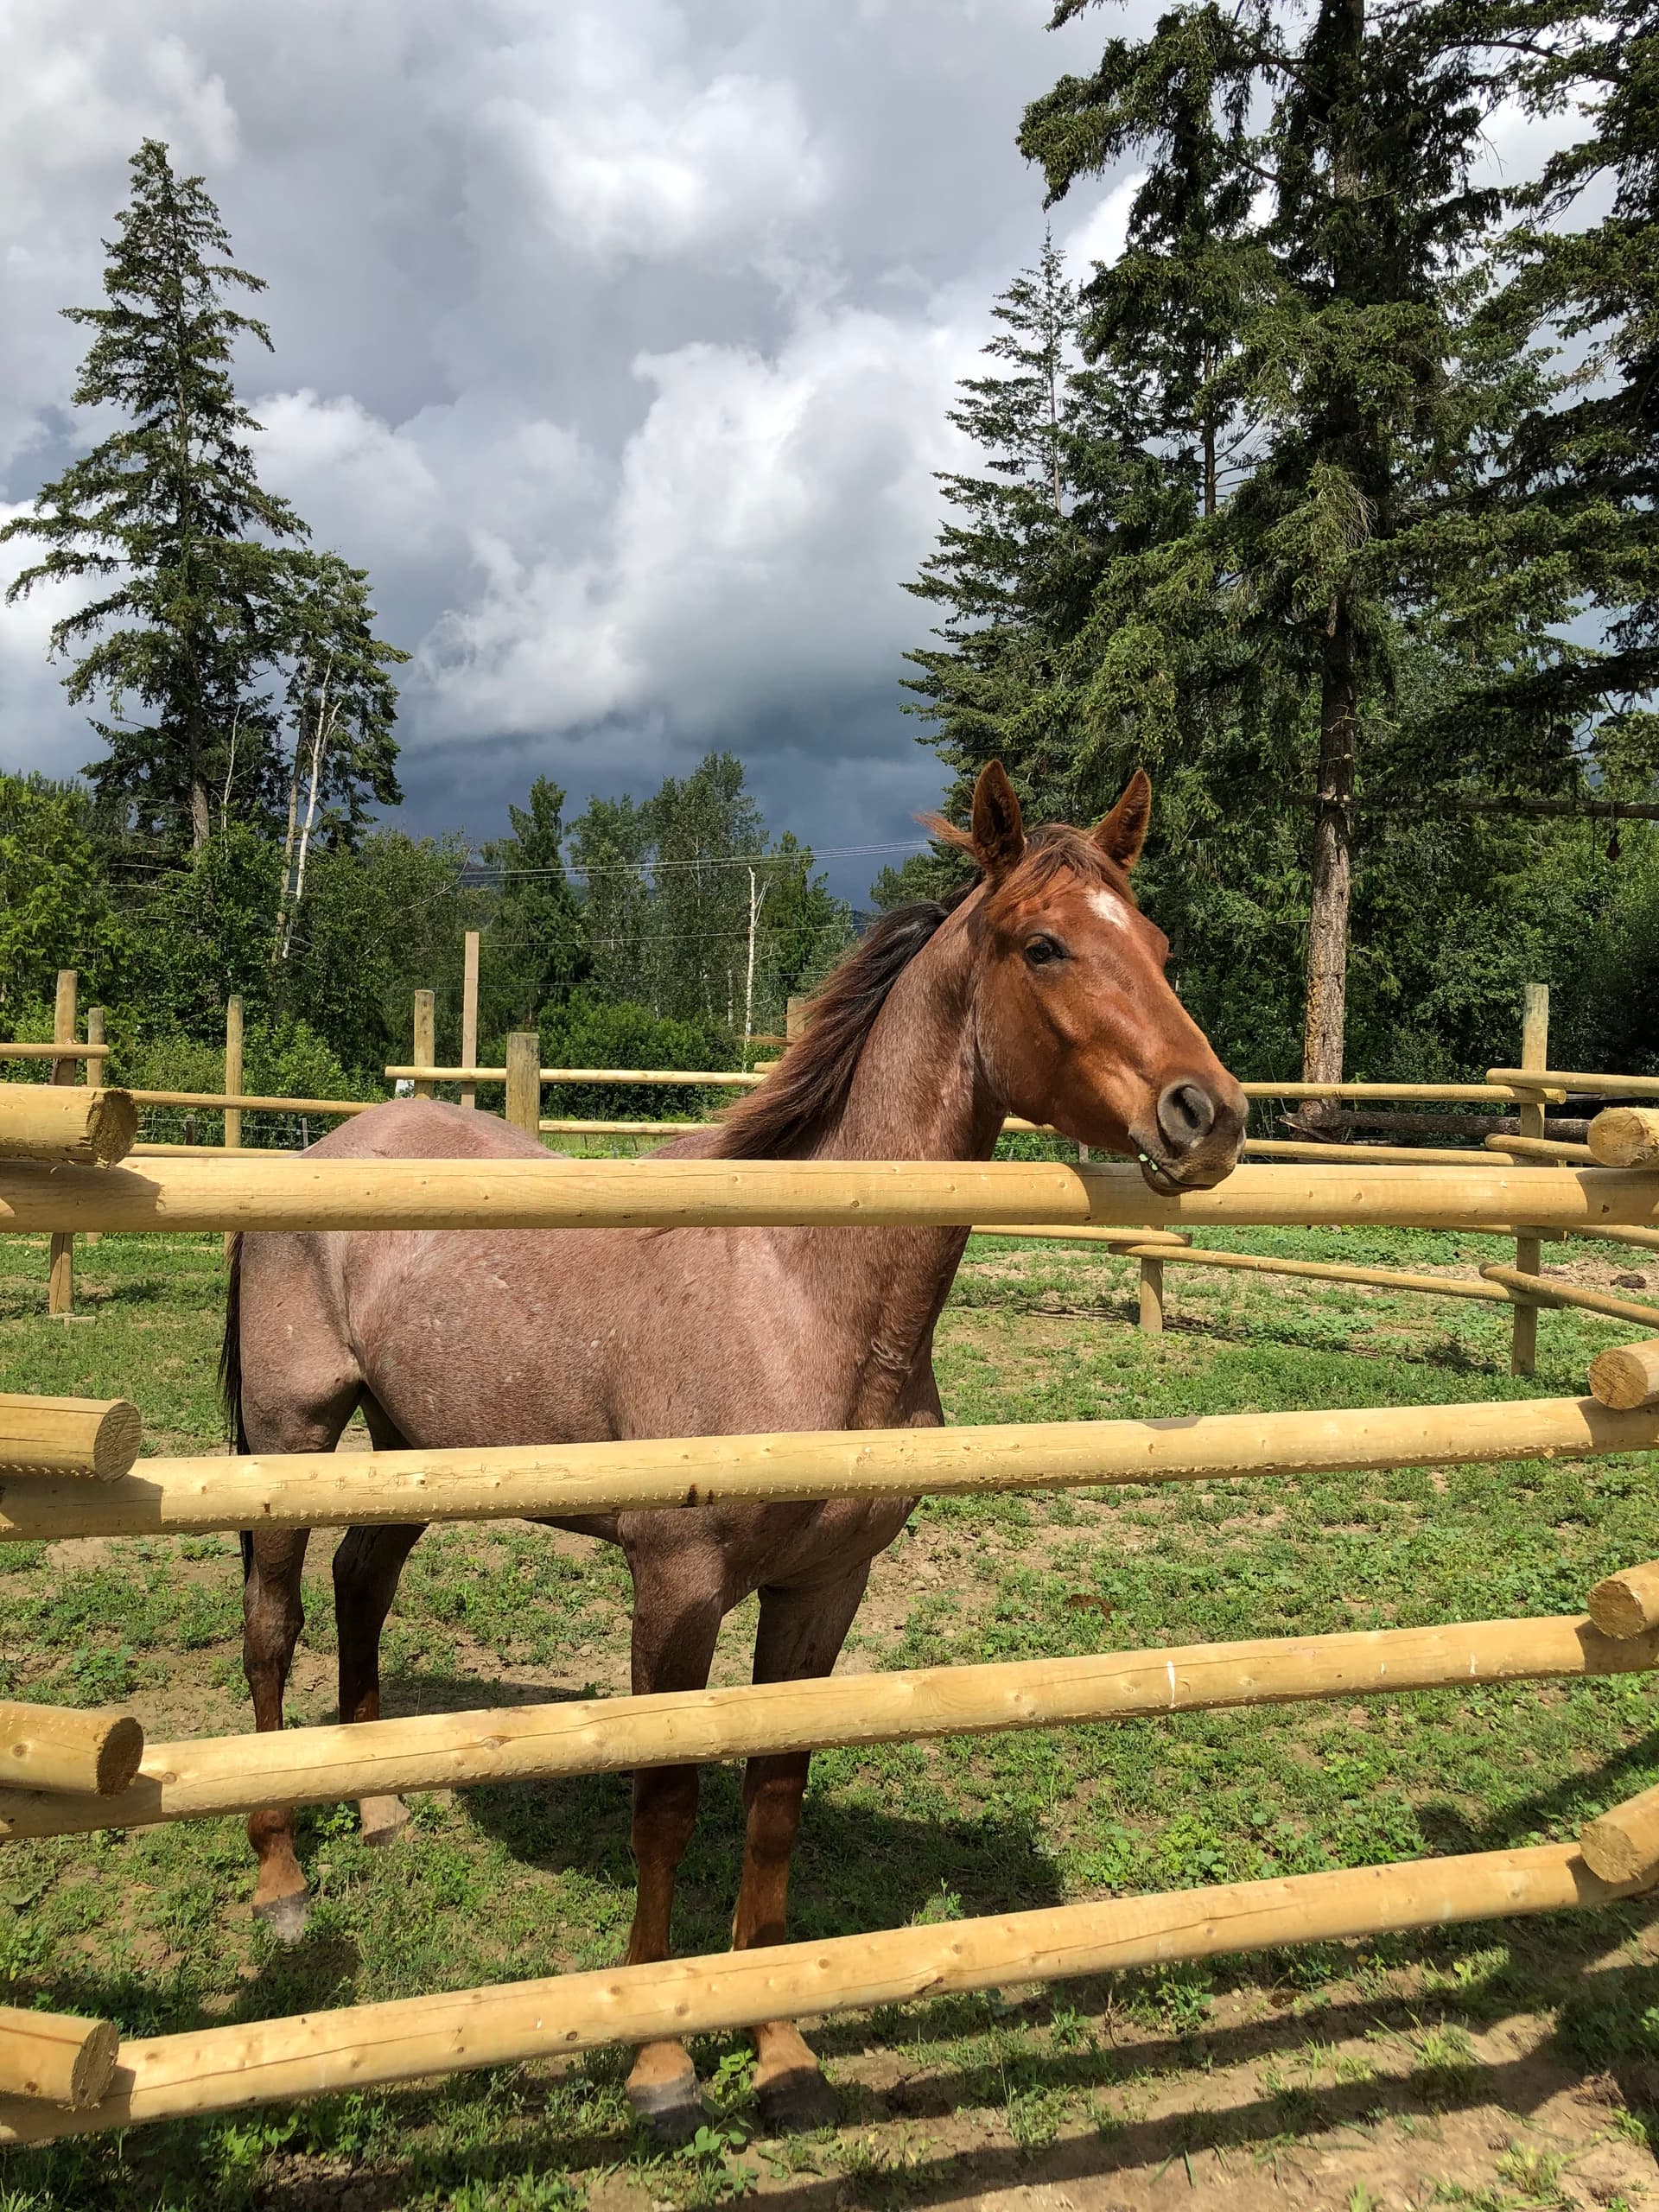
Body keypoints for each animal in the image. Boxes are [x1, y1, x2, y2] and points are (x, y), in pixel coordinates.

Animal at [221, 761, 1245, 2139]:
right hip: (290, 1437)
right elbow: (667, 1809)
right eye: (1045, 945)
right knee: (273, 1625)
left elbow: (772, 1808)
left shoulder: (823, 1592)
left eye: (1161, 944)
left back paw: (380, 1807)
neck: (797, 1288)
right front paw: (660, 2065)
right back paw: (283, 1879)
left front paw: (781, 2053)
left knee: (362, 1585)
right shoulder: (679, 1587)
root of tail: (323, 1148)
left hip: (408, 1440)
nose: (1211, 1115)